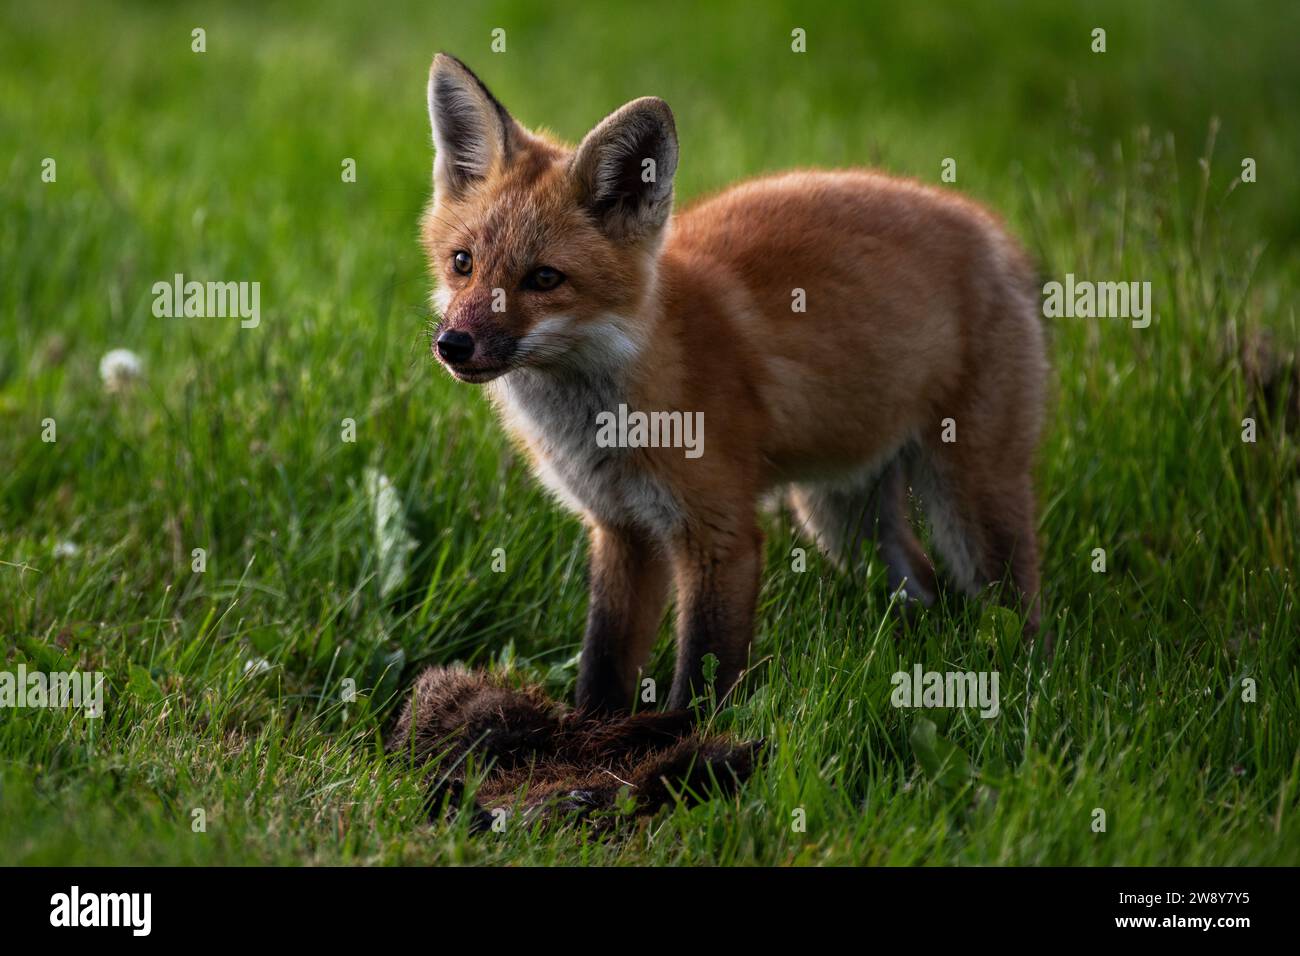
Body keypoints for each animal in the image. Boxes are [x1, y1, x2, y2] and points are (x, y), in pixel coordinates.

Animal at [421, 52, 1050, 712]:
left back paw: (1030, 685)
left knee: (1018, 612)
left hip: (971, 501)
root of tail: (989, 227)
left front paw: (678, 739)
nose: (453, 344)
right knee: (921, 588)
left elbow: (702, 677)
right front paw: (590, 729)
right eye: (463, 263)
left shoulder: (721, 534)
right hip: (841, 516)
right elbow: (604, 660)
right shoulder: (623, 531)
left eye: (544, 278)